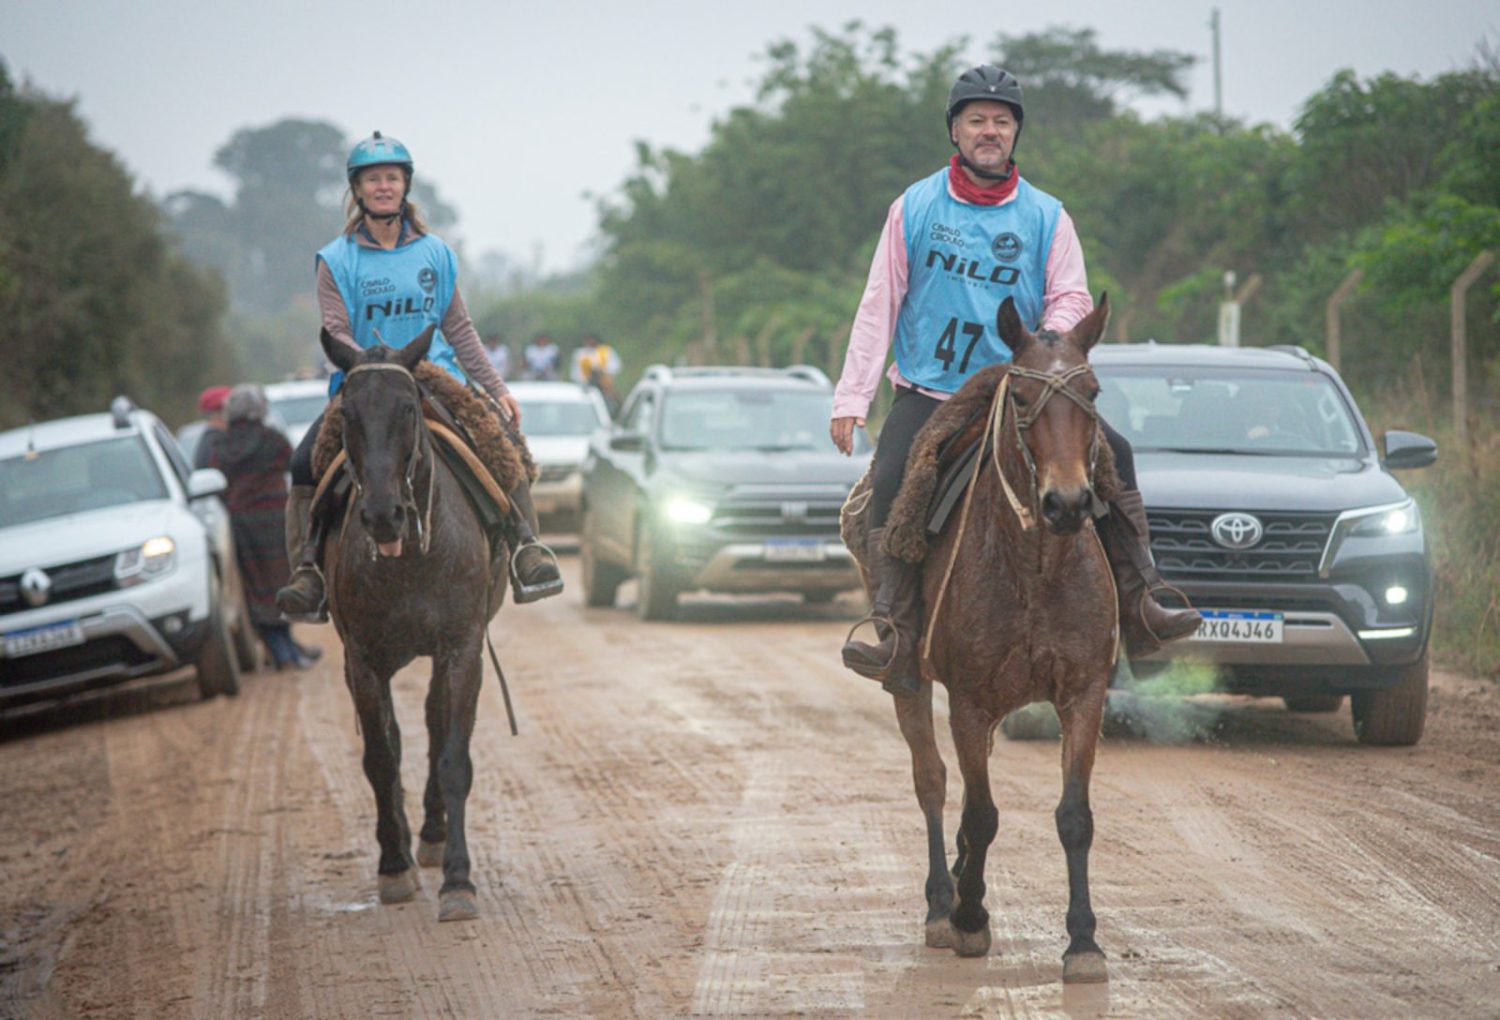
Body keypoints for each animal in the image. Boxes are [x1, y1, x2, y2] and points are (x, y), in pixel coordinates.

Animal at [316, 327, 504, 924]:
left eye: (407, 408)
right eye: (348, 412)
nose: (383, 515)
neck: (412, 558)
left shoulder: (462, 647)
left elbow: (453, 756)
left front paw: (458, 881)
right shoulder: (361, 660)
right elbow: (381, 757)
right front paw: (394, 866)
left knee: (435, 724)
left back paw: (434, 835)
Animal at [876, 295, 1122, 978]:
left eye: (1093, 392)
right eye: (1021, 398)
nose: (1068, 502)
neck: (1036, 566)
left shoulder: (1084, 694)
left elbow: (1074, 816)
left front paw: (1083, 940)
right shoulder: (969, 699)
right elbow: (981, 812)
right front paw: (969, 917)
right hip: (909, 681)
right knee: (933, 782)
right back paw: (943, 900)